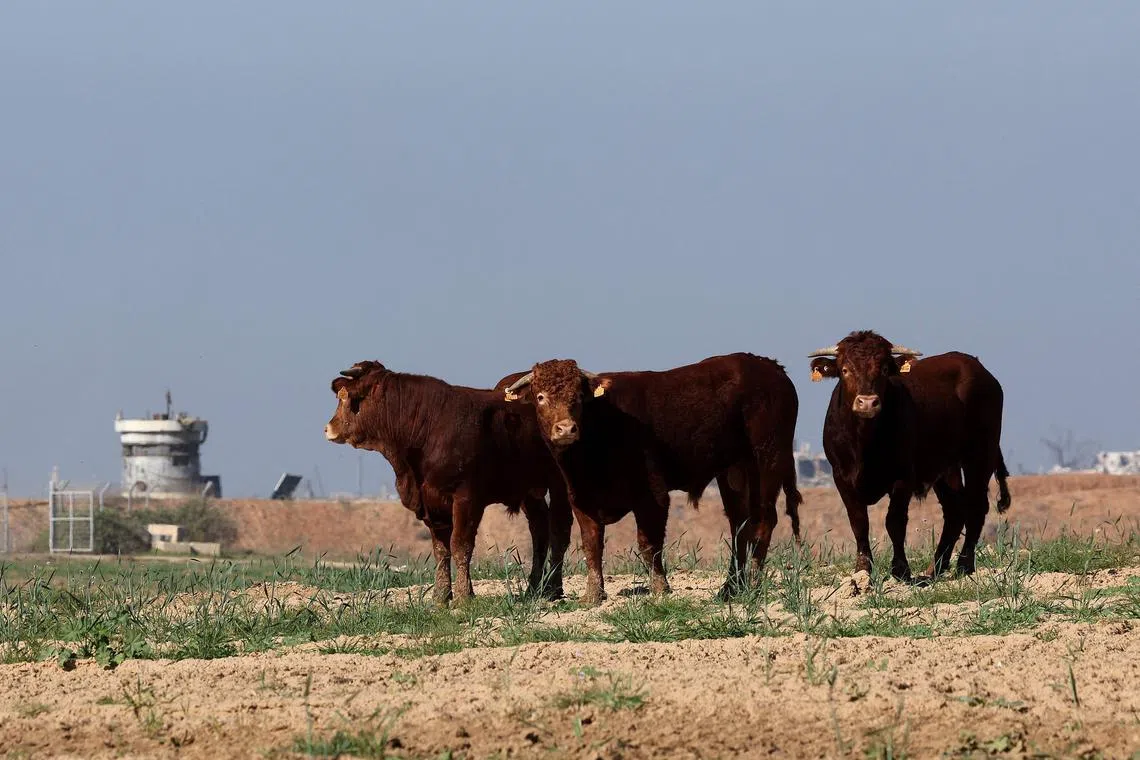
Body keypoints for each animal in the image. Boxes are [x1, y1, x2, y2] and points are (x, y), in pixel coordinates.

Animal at [324, 361, 572, 606]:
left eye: (345, 398)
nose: (328, 428)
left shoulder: (466, 498)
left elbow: (460, 545)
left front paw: (463, 597)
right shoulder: (432, 502)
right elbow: (441, 549)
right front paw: (441, 597)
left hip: (560, 483)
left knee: (559, 529)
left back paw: (554, 589)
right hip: (530, 490)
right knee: (539, 531)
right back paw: (533, 589)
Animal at [503, 353, 802, 605]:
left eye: (577, 396)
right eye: (540, 397)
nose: (566, 429)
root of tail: (770, 367)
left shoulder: (652, 494)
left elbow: (648, 544)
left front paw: (660, 589)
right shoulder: (581, 499)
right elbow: (591, 545)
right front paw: (593, 595)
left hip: (768, 458)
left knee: (764, 521)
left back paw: (753, 585)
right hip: (734, 472)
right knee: (740, 526)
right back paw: (730, 589)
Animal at [807, 330, 1012, 581]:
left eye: (885, 369)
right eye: (845, 369)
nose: (868, 402)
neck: (864, 442)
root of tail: (976, 366)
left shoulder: (902, 477)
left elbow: (895, 522)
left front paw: (900, 569)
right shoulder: (842, 478)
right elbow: (859, 522)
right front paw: (863, 569)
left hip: (980, 453)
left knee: (976, 506)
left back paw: (964, 565)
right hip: (946, 467)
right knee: (955, 510)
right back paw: (936, 568)